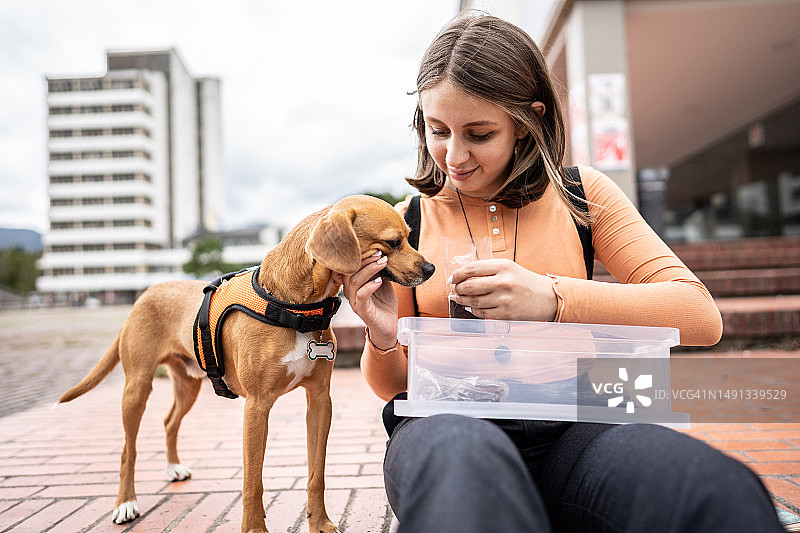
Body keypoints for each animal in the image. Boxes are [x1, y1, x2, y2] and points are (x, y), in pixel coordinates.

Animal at [58, 195, 434, 532]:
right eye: (393, 242)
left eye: (408, 234)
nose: (430, 268)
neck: (294, 307)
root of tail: (145, 293)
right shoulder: (256, 406)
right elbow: (253, 479)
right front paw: (254, 528)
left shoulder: (319, 401)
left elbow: (316, 473)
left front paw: (320, 523)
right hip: (137, 387)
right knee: (128, 450)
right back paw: (125, 504)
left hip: (188, 384)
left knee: (168, 422)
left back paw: (174, 468)